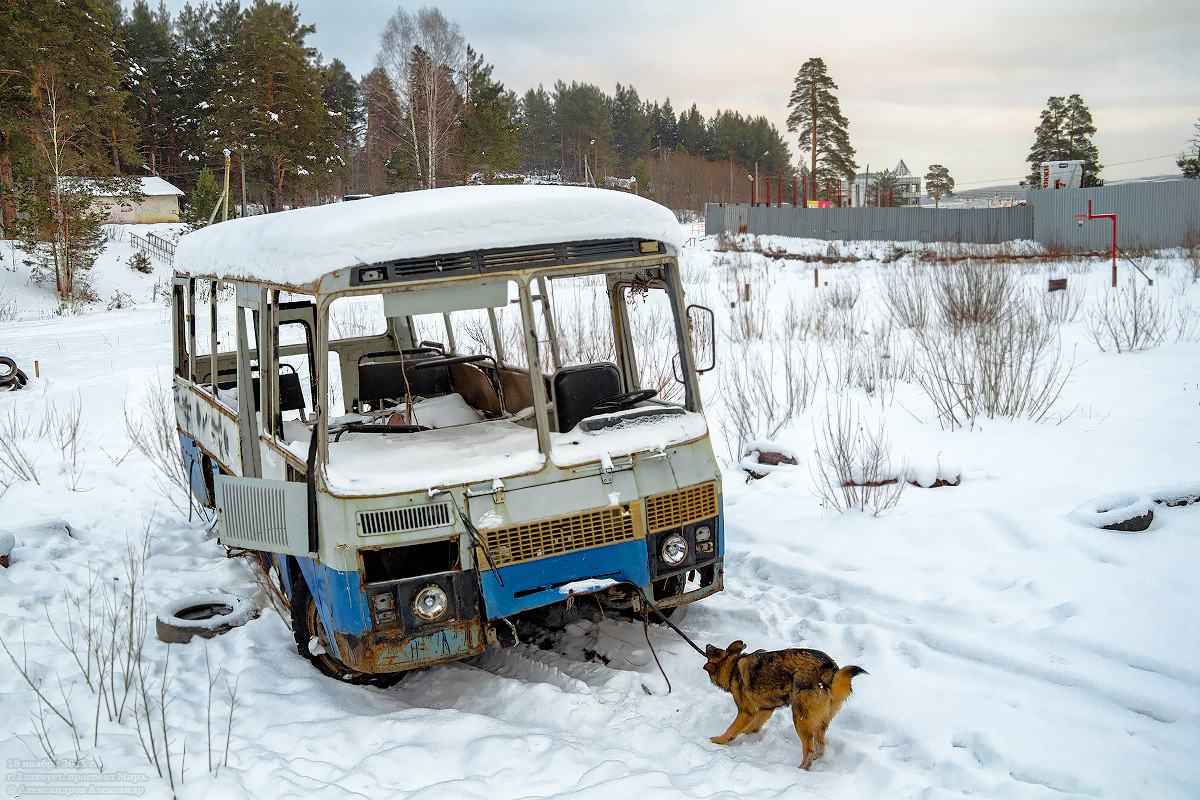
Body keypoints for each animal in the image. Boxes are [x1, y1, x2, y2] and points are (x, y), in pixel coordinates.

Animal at [700, 638, 864, 767]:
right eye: (714, 648)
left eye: (712, 651)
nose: (707, 644)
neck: (733, 667)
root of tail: (831, 670)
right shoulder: (766, 709)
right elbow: (752, 725)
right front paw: (746, 732)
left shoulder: (747, 711)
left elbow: (731, 730)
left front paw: (718, 740)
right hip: (820, 720)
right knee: (820, 745)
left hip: (800, 717)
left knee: (809, 750)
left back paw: (801, 768)